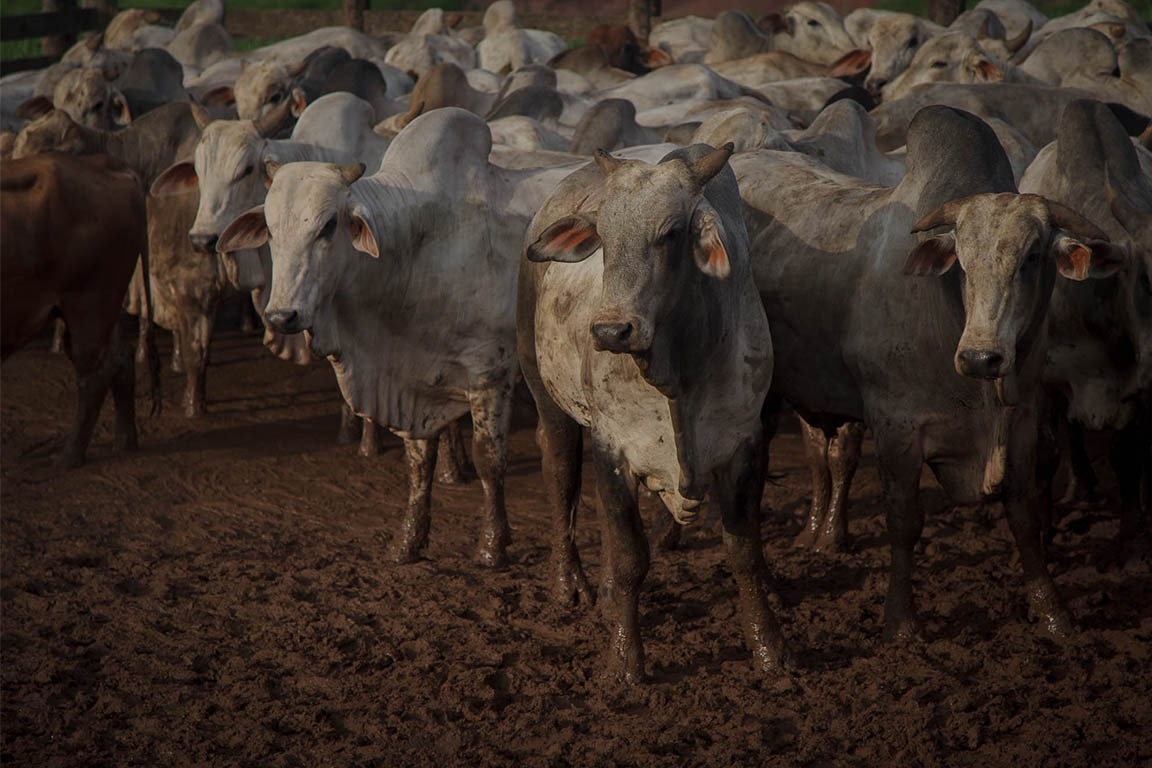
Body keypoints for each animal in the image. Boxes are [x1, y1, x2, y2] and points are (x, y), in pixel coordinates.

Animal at [1, 154, 158, 469]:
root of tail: (107, 165)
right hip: (102, 309)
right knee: (120, 358)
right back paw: (125, 442)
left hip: (88, 307)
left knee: (95, 375)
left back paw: (69, 456)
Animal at [520, 143, 783, 686]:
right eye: (602, 236)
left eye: (671, 233)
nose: (610, 330)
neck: (679, 371)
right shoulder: (613, 447)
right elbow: (629, 557)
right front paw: (624, 662)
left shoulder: (745, 443)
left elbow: (743, 551)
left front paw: (769, 648)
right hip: (546, 395)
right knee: (561, 476)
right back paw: (571, 582)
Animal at [728, 105, 1124, 640]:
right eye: (961, 260)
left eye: (1033, 256)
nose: (980, 358)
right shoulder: (896, 428)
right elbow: (904, 522)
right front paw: (900, 622)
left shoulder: (1024, 418)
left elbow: (1023, 514)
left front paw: (1053, 615)